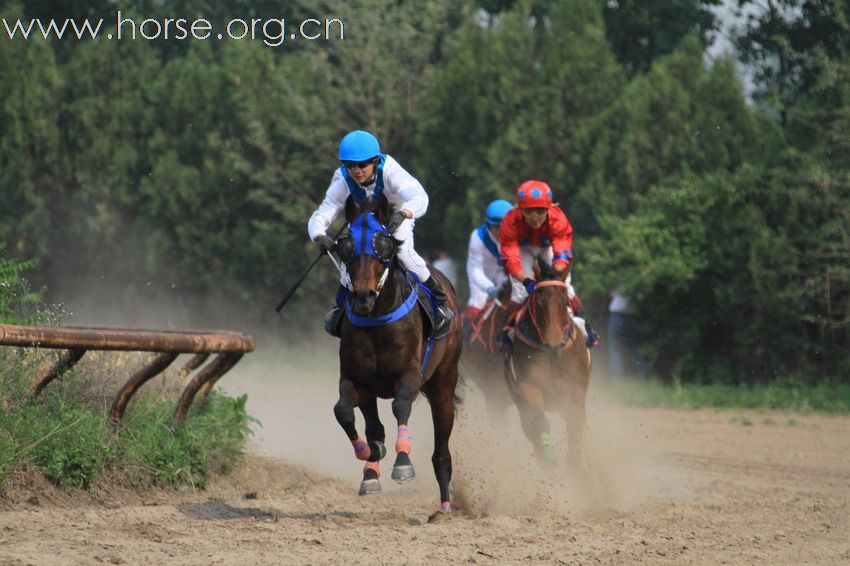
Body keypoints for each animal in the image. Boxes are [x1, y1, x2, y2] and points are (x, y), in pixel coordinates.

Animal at [330, 195, 460, 516]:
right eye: (346, 245)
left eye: (382, 244)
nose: (363, 296)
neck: (377, 319)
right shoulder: (355, 378)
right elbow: (343, 411)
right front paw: (369, 453)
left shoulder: (410, 374)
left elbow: (401, 405)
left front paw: (402, 463)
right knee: (373, 424)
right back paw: (371, 470)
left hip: (443, 383)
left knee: (442, 450)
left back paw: (445, 506)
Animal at [504, 260, 588, 468]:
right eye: (539, 302)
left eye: (564, 301)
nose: (554, 340)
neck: (552, 355)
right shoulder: (530, 385)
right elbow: (538, 421)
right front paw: (549, 460)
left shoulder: (575, 389)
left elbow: (575, 423)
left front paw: (576, 465)